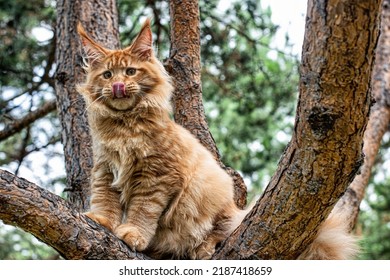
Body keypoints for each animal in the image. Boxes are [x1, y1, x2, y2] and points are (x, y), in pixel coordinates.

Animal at [77, 19, 360, 260]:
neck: (124, 127)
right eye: (107, 75)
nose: (118, 86)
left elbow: (143, 210)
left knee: (218, 231)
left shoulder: (157, 176)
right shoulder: (105, 167)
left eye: (130, 71)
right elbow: (104, 201)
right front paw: (101, 221)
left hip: (212, 193)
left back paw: (204, 247)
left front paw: (133, 233)